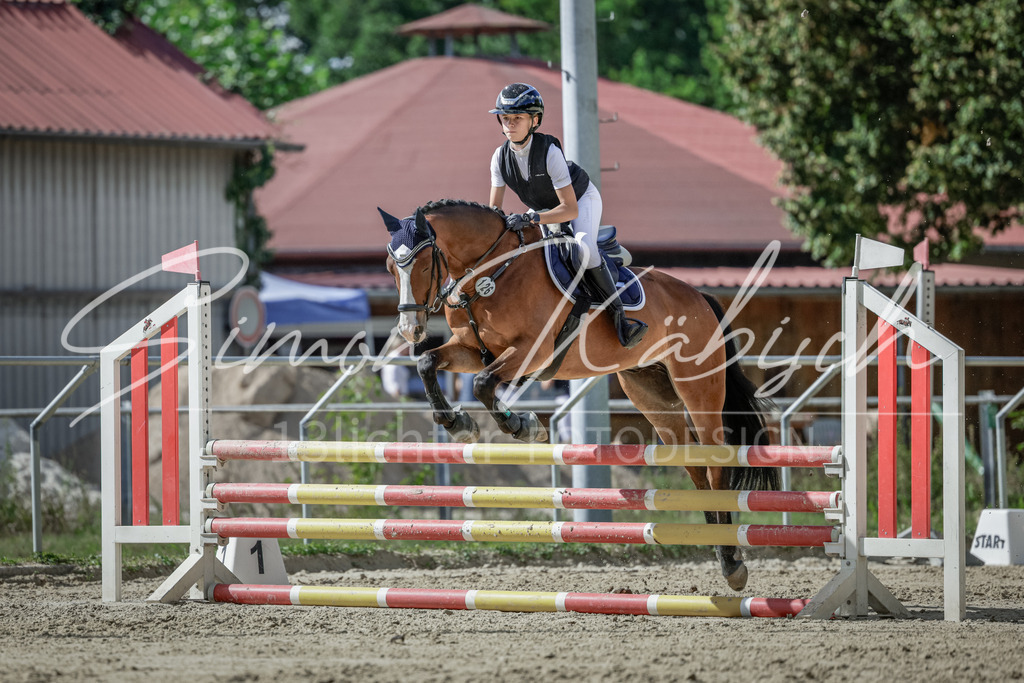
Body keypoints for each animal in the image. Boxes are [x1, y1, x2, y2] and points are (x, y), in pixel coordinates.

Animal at [379, 199, 778, 591]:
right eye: (390, 268)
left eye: (425, 262)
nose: (410, 330)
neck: (491, 272)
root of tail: (700, 296)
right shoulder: (470, 349)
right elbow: (428, 363)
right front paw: (457, 423)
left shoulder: (532, 351)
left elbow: (482, 383)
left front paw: (522, 426)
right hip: (651, 394)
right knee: (693, 463)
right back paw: (722, 554)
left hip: (697, 386)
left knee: (715, 461)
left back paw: (733, 564)